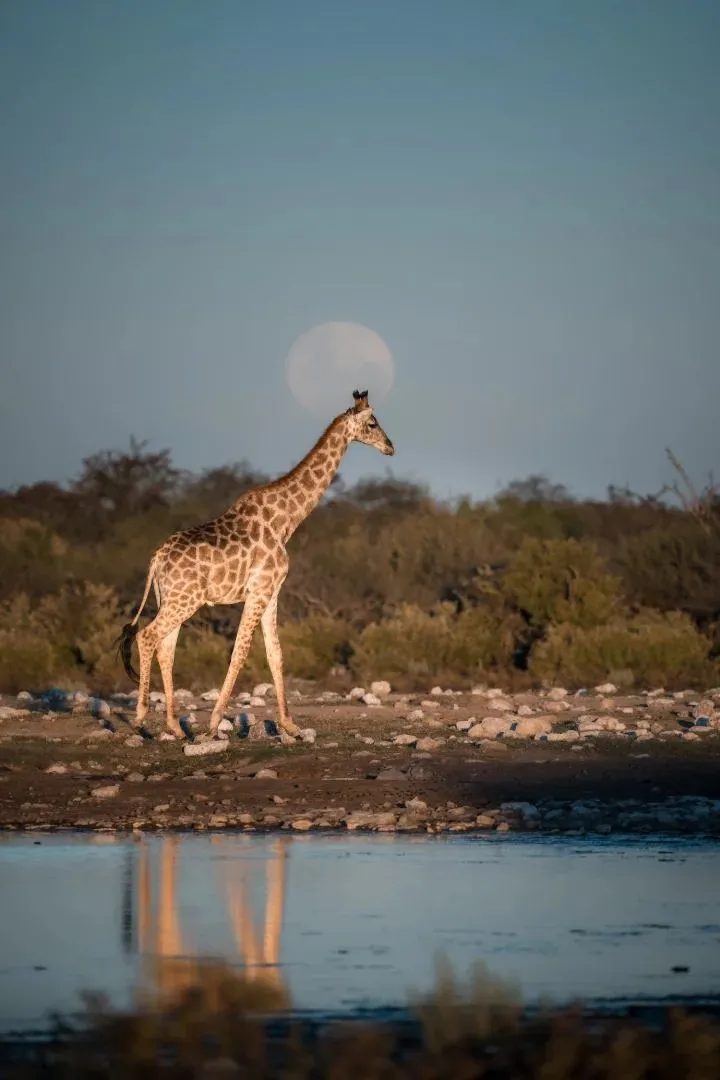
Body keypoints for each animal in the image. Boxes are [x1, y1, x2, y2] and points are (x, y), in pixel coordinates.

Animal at [118, 390, 394, 741]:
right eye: (373, 423)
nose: (390, 446)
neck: (285, 521)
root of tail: (156, 558)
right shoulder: (259, 590)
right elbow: (241, 651)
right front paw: (213, 723)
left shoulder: (273, 592)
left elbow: (275, 654)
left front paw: (290, 725)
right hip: (184, 600)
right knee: (147, 637)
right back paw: (141, 718)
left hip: (170, 598)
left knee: (166, 647)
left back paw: (175, 727)